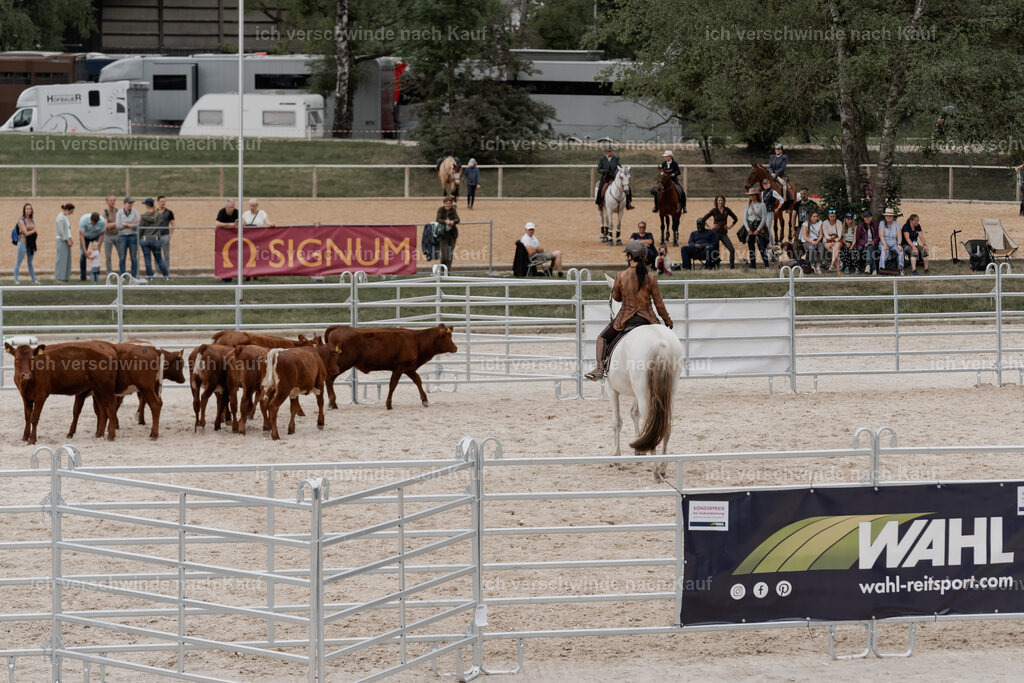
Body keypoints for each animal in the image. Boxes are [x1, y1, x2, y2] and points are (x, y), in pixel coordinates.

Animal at [606, 324, 684, 482]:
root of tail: (660, 343)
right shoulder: (635, 393)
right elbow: (634, 414)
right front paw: (638, 450)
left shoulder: (612, 389)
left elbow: (617, 422)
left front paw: (616, 456)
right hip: (669, 394)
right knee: (665, 427)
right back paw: (662, 468)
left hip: (643, 393)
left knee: (652, 425)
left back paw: (655, 472)